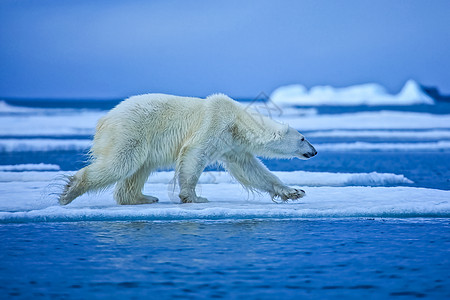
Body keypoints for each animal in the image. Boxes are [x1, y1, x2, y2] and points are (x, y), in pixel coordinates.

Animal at [59, 94, 316, 205]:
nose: (314, 151)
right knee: (121, 163)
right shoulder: (214, 124)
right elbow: (194, 154)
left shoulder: (232, 145)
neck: (237, 122)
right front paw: (194, 196)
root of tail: (104, 118)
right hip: (131, 131)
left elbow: (251, 170)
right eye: (303, 138)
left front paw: (294, 191)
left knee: (139, 169)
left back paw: (143, 197)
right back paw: (69, 191)